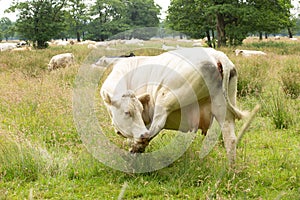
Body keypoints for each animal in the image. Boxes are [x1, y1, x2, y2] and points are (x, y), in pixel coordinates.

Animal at [101, 47, 251, 165]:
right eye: (127, 112)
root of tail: (217, 56)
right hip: (222, 108)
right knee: (230, 138)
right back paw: (231, 169)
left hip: (165, 100)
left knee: (157, 125)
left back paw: (136, 149)